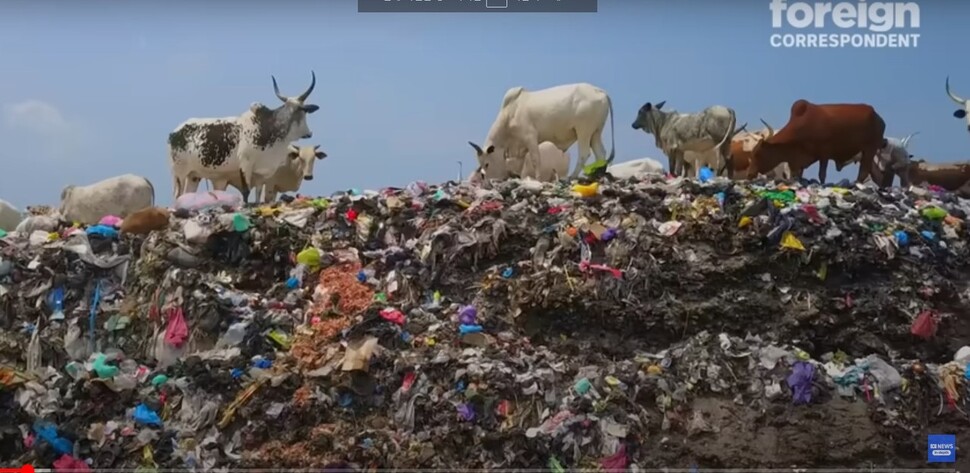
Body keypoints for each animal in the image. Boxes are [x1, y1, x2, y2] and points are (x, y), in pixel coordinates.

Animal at [166, 71, 318, 204]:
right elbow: (246, 191)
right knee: (178, 195)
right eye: (303, 110)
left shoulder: (260, 174)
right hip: (179, 174)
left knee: (187, 194)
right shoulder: (245, 165)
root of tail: (174, 132)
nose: (309, 134)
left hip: (194, 176)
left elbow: (257, 194)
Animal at [466, 82, 612, 178]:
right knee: (601, 153)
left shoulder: (530, 137)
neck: (510, 113)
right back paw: (598, 174)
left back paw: (572, 177)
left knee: (584, 154)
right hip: (595, 132)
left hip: (584, 131)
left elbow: (536, 160)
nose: (490, 181)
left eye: (487, 164)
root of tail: (600, 91)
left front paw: (537, 179)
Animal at [744, 99, 888, 184]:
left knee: (863, 172)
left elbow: (822, 175)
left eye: (758, 153)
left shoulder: (824, 154)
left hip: (870, 149)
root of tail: (878, 117)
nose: (749, 174)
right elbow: (798, 175)